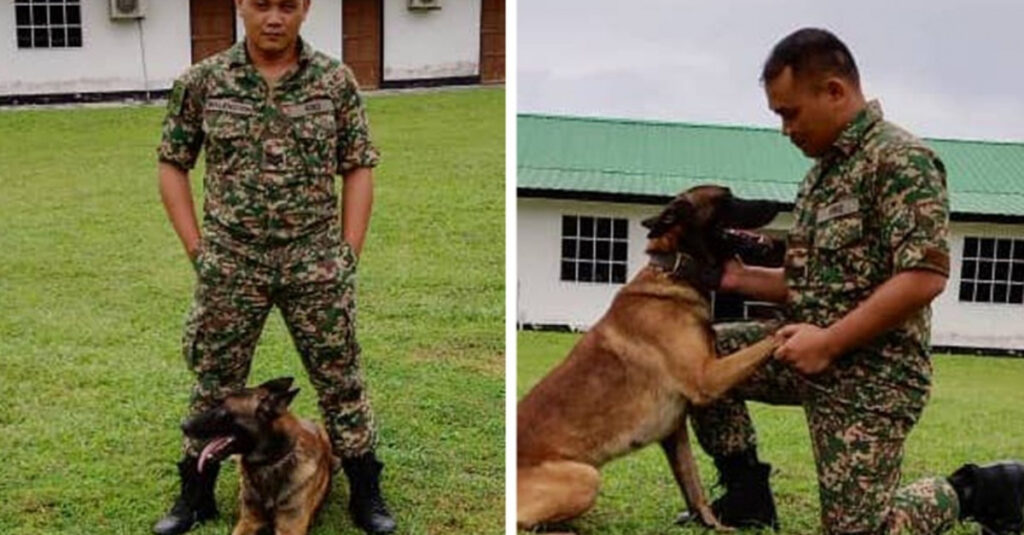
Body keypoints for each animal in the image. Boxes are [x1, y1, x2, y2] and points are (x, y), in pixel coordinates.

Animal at [520, 185, 782, 524]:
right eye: (726, 198)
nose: (776, 202)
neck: (676, 271)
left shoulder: (674, 432)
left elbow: (695, 489)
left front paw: (712, 524)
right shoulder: (706, 379)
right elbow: (770, 338)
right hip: (586, 477)